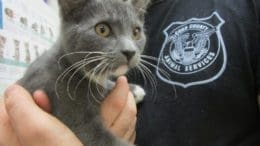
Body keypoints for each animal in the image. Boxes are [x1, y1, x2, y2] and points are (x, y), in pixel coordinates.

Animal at [18, 0, 150, 145]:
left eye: (136, 32)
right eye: (102, 29)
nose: (130, 51)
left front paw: (134, 89)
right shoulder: (61, 98)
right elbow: (97, 138)